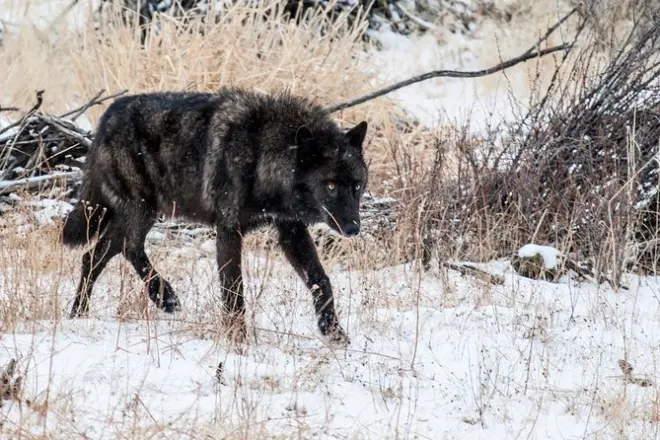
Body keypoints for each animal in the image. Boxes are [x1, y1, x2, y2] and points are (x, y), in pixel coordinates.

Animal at [60, 86, 369, 344]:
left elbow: (321, 280)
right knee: (127, 247)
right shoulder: (229, 229)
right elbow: (233, 289)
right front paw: (237, 340)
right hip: (143, 210)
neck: (261, 154)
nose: (354, 228)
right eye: (330, 186)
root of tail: (107, 115)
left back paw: (80, 313)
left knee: (96, 255)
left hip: (138, 214)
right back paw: (164, 298)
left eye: (357, 185)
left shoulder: (291, 230)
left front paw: (334, 332)